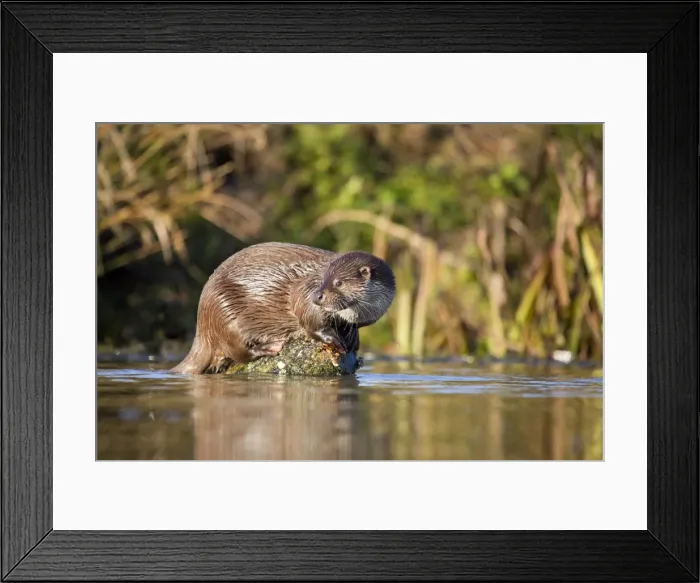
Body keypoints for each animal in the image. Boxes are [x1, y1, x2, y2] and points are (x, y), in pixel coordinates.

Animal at [172, 242, 396, 374]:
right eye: (322, 280)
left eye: (338, 282)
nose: (318, 296)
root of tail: (202, 321)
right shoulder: (304, 290)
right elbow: (308, 318)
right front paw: (332, 339)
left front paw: (352, 339)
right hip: (224, 311)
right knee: (238, 351)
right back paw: (271, 346)